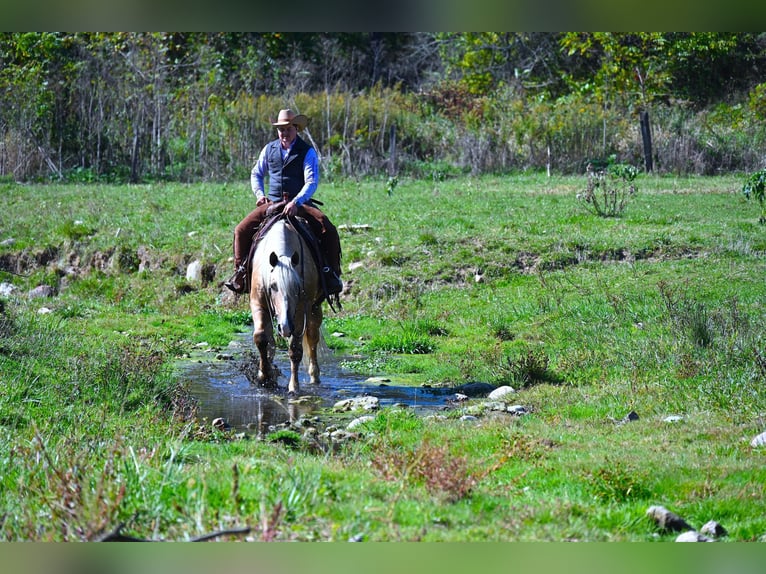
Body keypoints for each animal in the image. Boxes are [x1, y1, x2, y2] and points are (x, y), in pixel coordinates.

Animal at [252, 216, 324, 396]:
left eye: (296, 288)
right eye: (273, 286)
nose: (285, 327)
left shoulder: (300, 312)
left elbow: (295, 350)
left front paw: (293, 386)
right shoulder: (258, 303)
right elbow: (261, 338)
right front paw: (264, 376)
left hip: (313, 310)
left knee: (312, 338)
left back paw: (314, 376)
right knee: (270, 340)